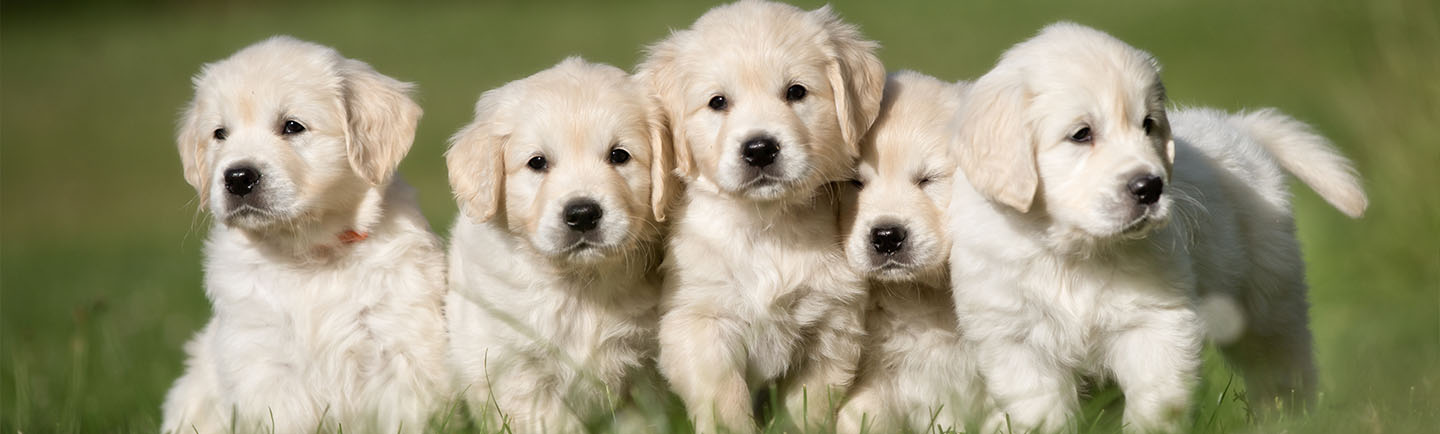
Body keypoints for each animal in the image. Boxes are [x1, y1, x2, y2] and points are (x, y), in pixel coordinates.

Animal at [158, 36, 452, 432]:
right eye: (220, 134)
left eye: (292, 126)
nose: (237, 177)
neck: (312, 254)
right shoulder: (263, 359)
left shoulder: (401, 347)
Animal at [440, 58, 671, 432]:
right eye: (537, 162)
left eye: (619, 156)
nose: (582, 214)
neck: (580, 283)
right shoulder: (515, 369)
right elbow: (554, 421)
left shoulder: (644, 375)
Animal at [636, 1, 881, 429]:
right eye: (718, 102)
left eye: (796, 92)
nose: (760, 149)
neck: (767, 226)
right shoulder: (699, 320)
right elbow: (724, 398)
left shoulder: (832, 326)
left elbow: (808, 405)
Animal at [950, 22, 1365, 429]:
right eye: (1081, 134)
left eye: (1148, 125)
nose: (1149, 187)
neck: (1076, 253)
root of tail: (1238, 126)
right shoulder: (1016, 340)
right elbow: (1038, 412)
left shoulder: (1156, 324)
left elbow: (1155, 402)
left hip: (1266, 299)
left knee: (1282, 365)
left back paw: (1292, 418)